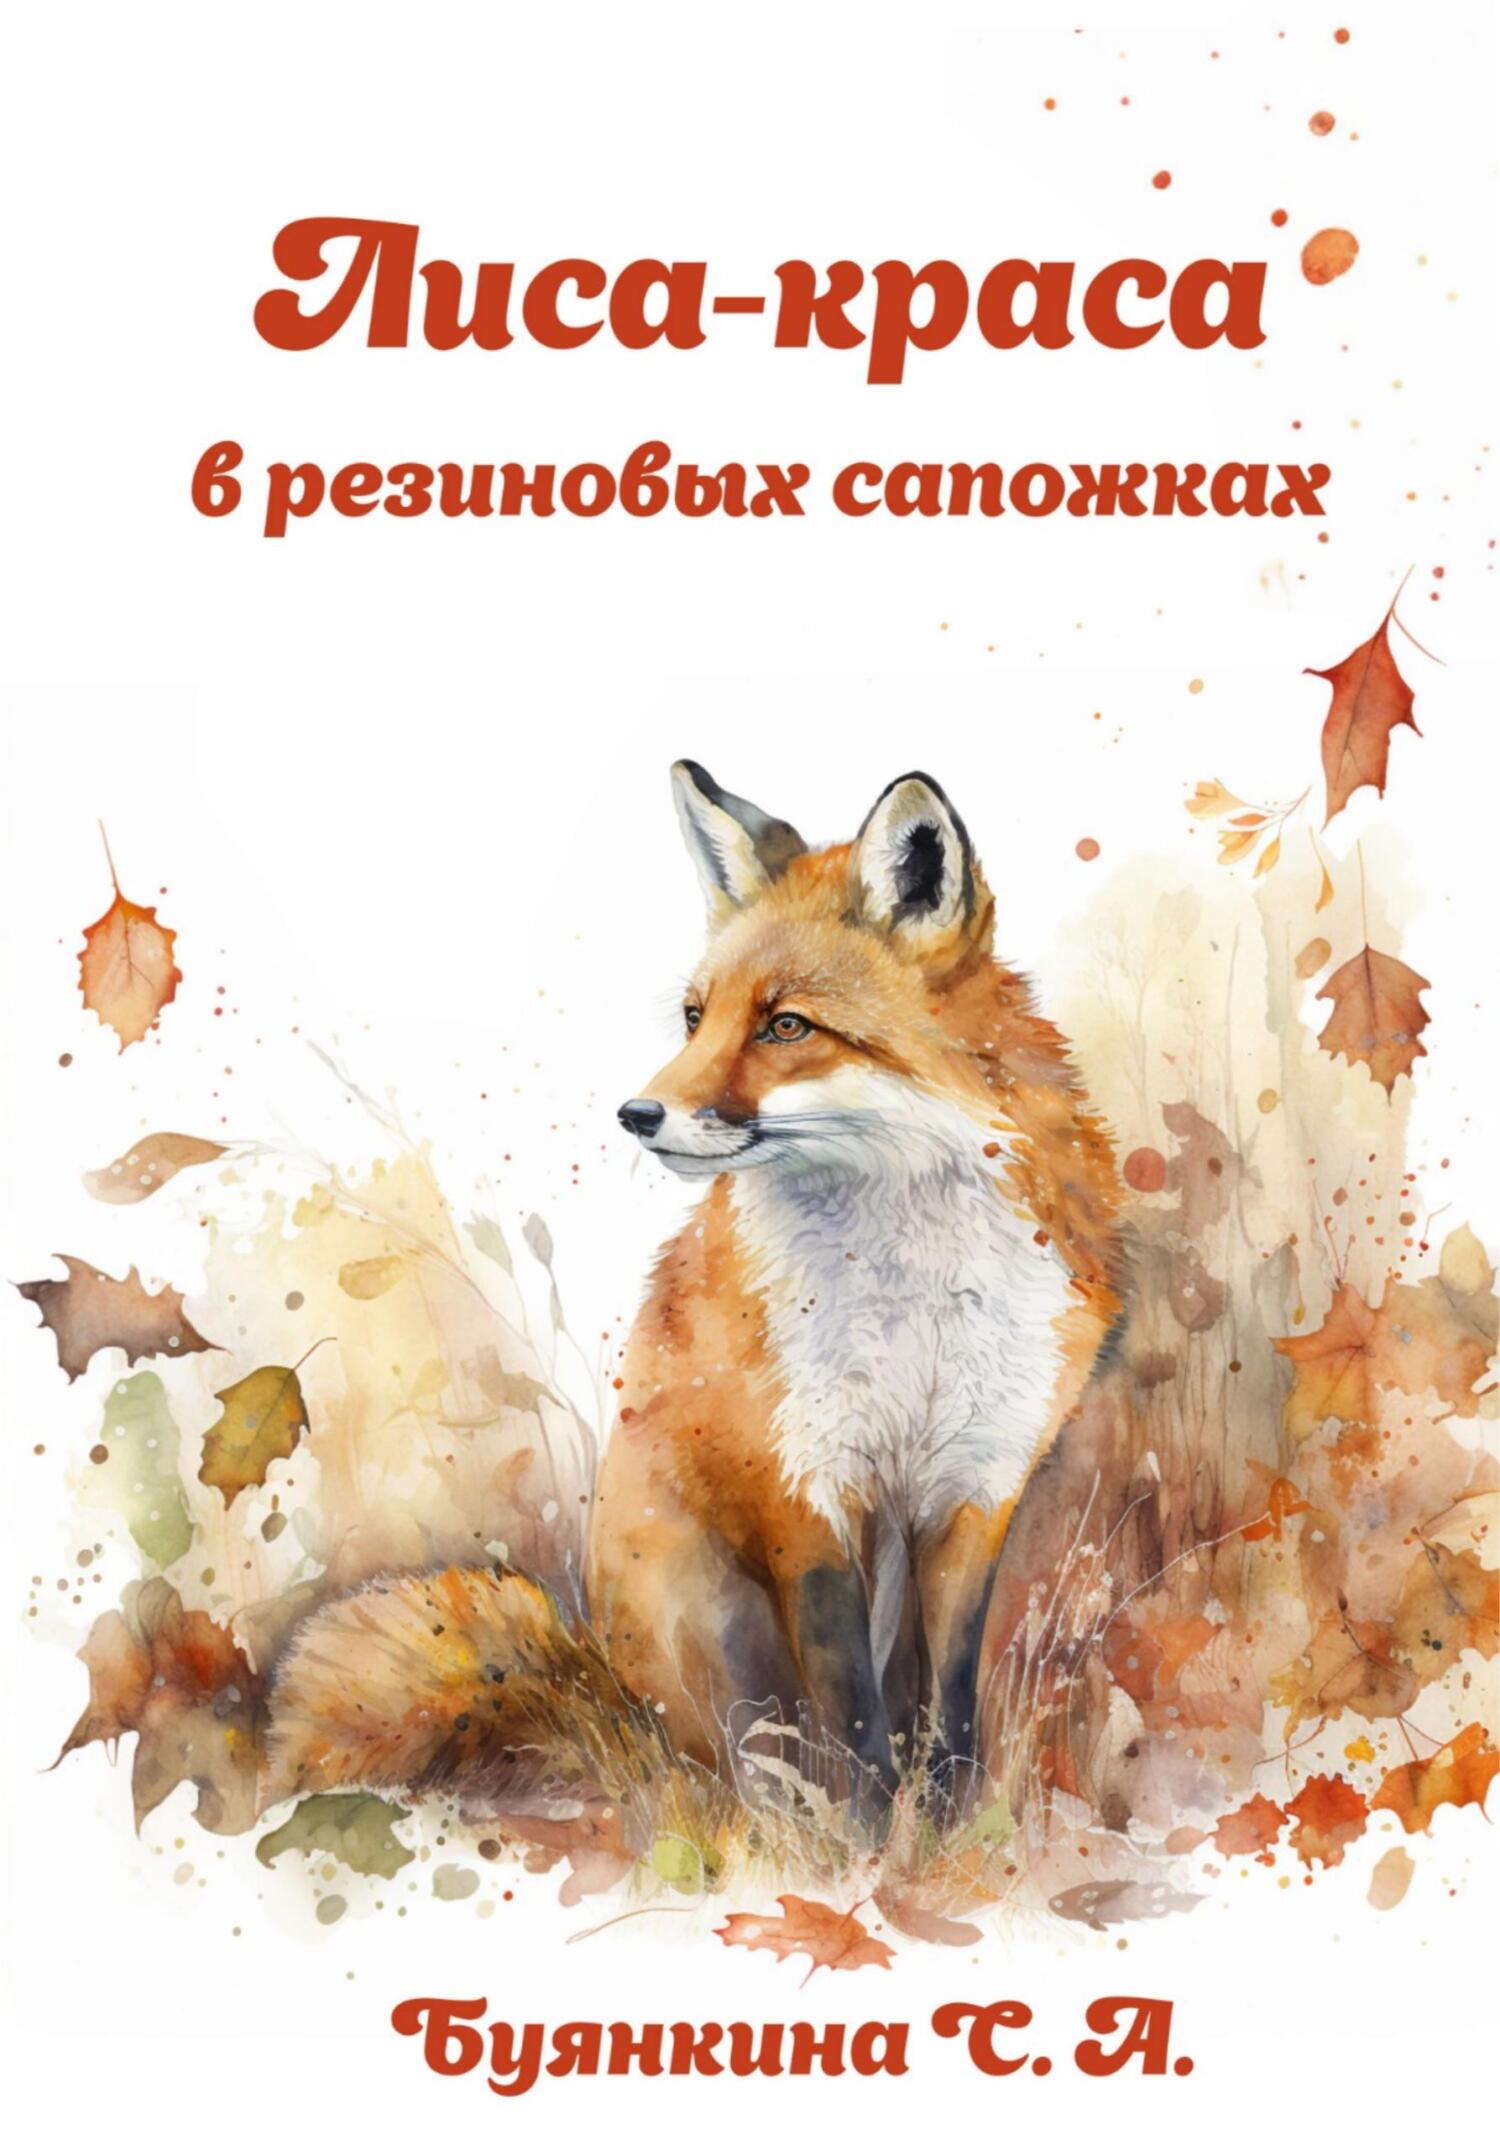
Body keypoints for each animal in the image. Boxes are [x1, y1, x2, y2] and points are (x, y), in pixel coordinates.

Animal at [267, 764, 1124, 1816]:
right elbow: (853, 1714)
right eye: (692, 1016)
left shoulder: (978, 1482)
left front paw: (946, 1831)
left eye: (785, 1025)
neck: (913, 1294)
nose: (637, 1114)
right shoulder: (803, 1484)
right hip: (709, 1628)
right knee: (727, 1763)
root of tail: (602, 1683)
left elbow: (949, 1704)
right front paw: (867, 1843)